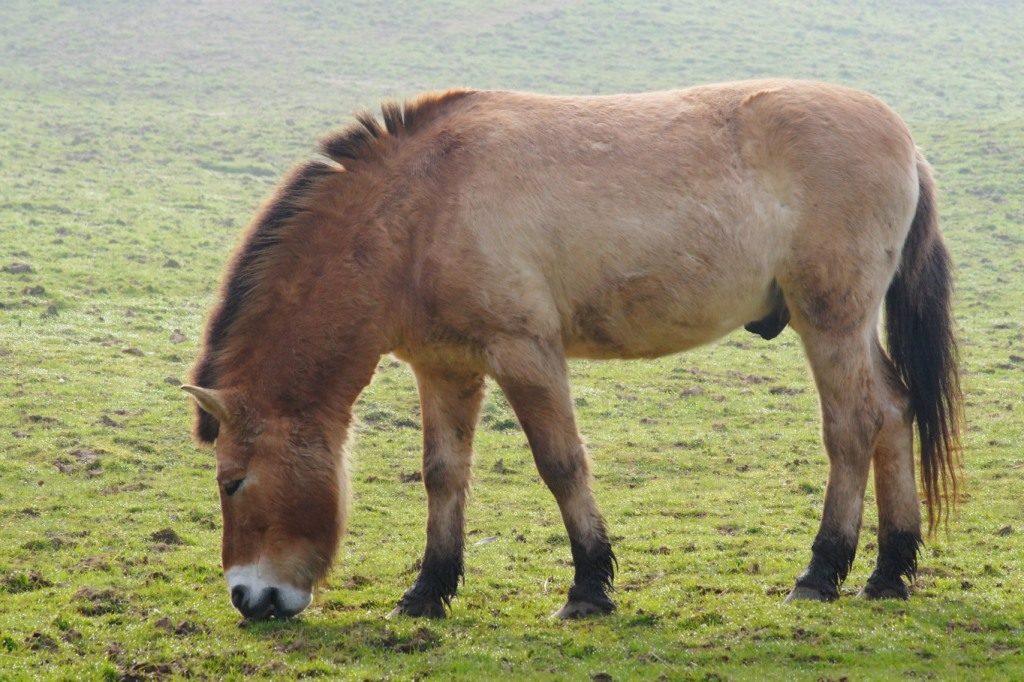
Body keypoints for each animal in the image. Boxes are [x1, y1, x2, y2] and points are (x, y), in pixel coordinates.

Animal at [184, 80, 962, 620]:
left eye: (233, 481)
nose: (248, 598)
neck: (425, 202)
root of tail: (905, 140)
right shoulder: (445, 367)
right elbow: (443, 474)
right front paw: (428, 592)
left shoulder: (526, 354)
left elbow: (560, 464)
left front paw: (589, 587)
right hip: (849, 330)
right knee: (894, 412)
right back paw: (888, 572)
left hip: (830, 323)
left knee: (853, 428)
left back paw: (822, 572)